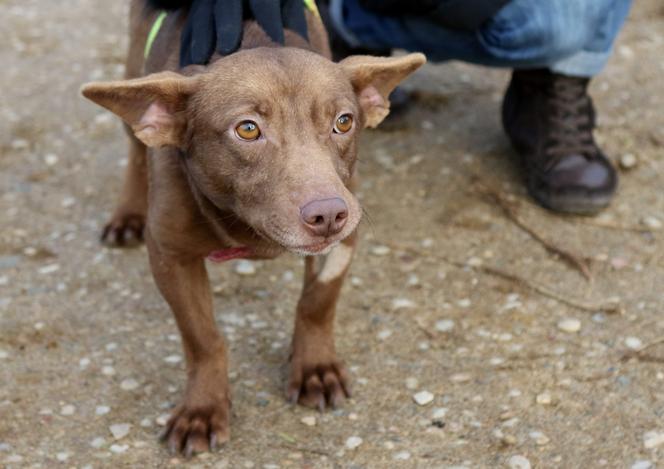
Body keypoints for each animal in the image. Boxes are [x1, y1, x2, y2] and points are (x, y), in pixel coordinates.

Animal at [81, 0, 426, 456]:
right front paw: (203, 408)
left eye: (344, 121)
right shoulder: (170, 256)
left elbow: (317, 303)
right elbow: (203, 338)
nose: (328, 215)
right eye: (247, 129)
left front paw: (315, 368)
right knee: (136, 152)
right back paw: (127, 214)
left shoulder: (344, 237)